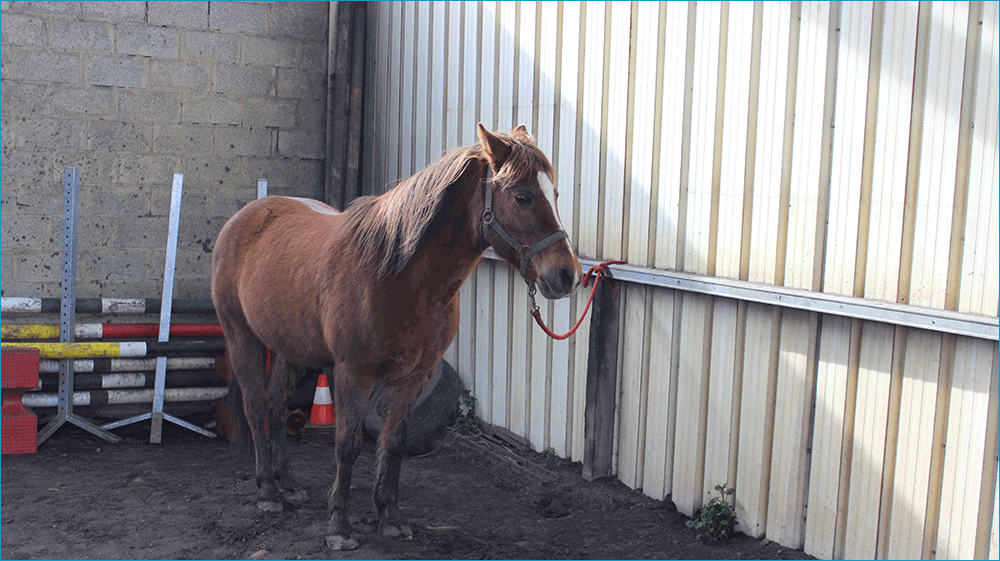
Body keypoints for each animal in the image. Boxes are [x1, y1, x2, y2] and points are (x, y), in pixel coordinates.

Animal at [212, 124, 584, 548]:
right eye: (523, 196)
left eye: (554, 193)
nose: (567, 276)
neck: (398, 275)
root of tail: (244, 218)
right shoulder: (352, 374)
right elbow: (348, 444)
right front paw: (339, 526)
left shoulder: (414, 377)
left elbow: (394, 443)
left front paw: (389, 516)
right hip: (242, 338)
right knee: (257, 407)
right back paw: (268, 492)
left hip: (291, 349)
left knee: (276, 406)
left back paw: (288, 484)